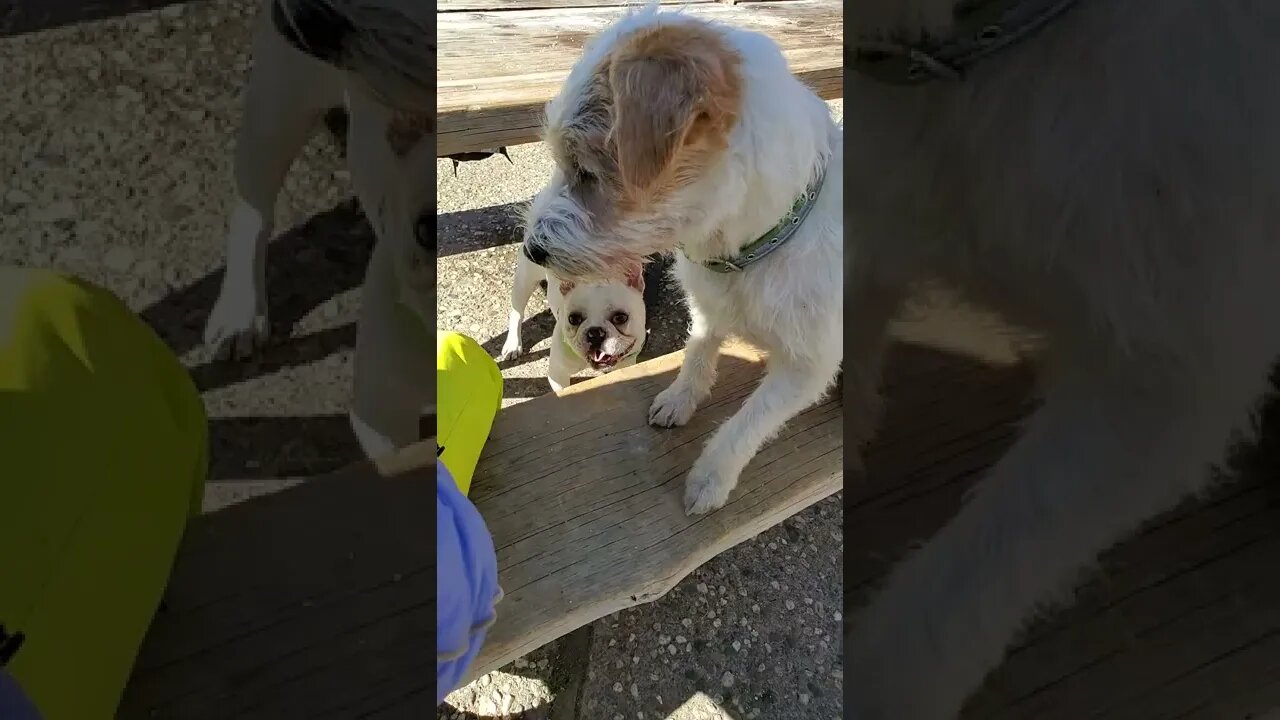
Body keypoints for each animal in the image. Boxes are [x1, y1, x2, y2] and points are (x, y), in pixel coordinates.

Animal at [494, 249, 645, 389]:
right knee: (517, 312)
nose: (595, 333)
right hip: (525, 280)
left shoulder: (627, 366)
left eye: (620, 318)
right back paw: (513, 345)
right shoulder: (558, 376)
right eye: (573, 319)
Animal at [517, 4, 839, 509]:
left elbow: (748, 423)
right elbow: (696, 355)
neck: (745, 254)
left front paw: (710, 477)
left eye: (587, 171)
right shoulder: (708, 313)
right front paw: (679, 399)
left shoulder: (808, 367)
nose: (532, 248)